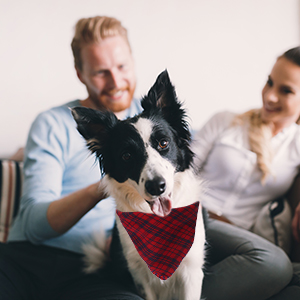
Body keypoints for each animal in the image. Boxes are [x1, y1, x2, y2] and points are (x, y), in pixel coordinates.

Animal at [72, 71, 206, 300]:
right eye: (126, 156)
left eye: (163, 143)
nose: (157, 186)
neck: (157, 221)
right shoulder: (139, 274)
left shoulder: (192, 270)